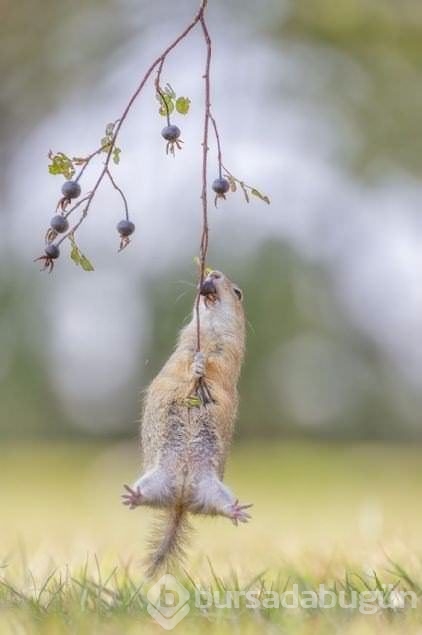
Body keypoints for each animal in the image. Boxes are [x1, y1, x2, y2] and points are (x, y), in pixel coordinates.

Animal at [120, 270, 252, 580]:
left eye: (238, 292)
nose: (213, 273)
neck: (210, 330)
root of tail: (180, 501)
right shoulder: (185, 346)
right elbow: (183, 361)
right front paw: (196, 366)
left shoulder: (229, 353)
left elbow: (218, 366)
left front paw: (202, 367)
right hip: (157, 479)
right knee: (149, 495)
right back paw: (134, 496)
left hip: (212, 489)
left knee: (219, 507)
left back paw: (236, 511)